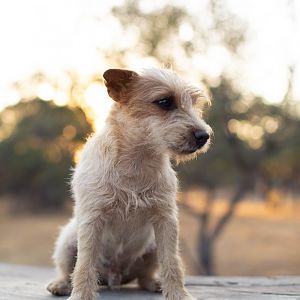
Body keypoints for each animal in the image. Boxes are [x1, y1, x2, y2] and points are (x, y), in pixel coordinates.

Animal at [46, 68, 211, 300]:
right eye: (164, 102)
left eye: (194, 103)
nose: (204, 136)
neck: (136, 161)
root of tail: (114, 275)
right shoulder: (92, 219)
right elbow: (85, 263)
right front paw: (81, 295)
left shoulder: (166, 220)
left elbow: (172, 262)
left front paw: (178, 294)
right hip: (67, 241)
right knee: (67, 268)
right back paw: (61, 284)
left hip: (152, 245)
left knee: (144, 276)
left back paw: (155, 283)